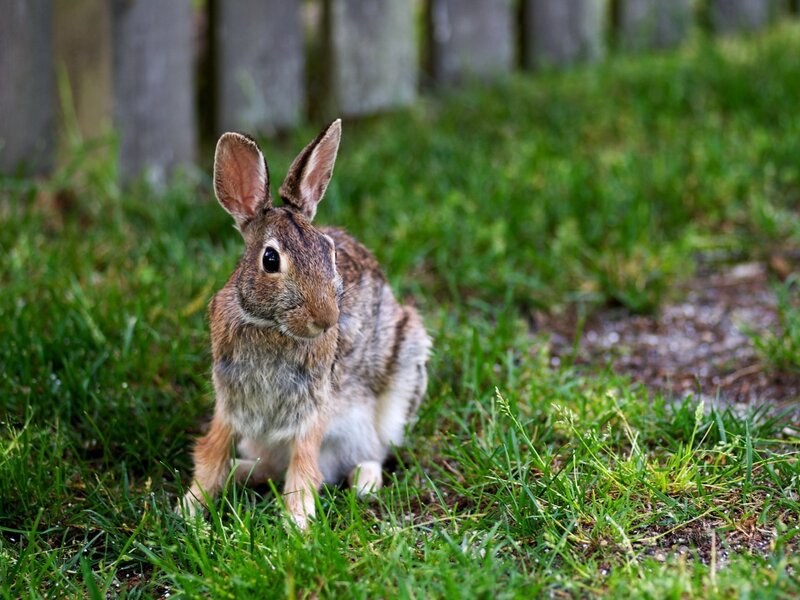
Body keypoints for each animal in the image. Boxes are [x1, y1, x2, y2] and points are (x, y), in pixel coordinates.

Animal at [179, 119, 431, 529]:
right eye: (270, 260)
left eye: (328, 250)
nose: (326, 319)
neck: (270, 326)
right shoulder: (230, 401)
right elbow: (211, 455)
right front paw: (188, 509)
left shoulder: (312, 408)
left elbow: (303, 467)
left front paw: (297, 524)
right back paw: (239, 472)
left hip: (400, 383)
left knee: (375, 451)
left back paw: (364, 483)